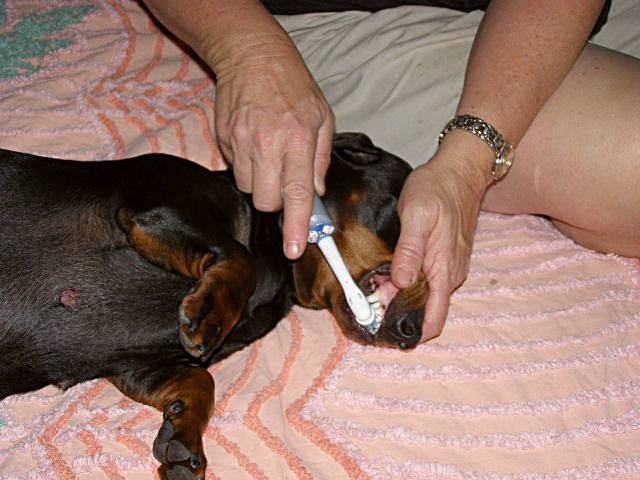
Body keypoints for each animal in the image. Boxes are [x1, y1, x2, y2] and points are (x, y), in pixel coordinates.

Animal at [1, 133, 430, 480]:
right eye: (400, 213)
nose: (414, 332)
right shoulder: (159, 207)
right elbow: (239, 257)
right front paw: (210, 313)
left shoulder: (136, 367)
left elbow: (199, 381)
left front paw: (182, 438)